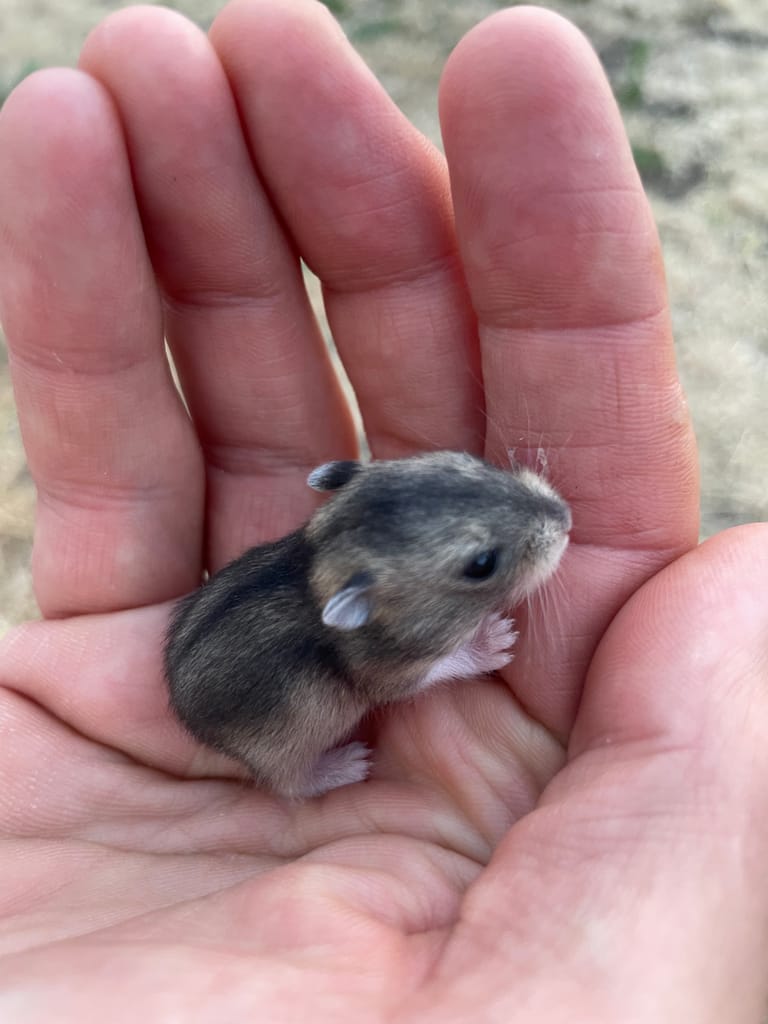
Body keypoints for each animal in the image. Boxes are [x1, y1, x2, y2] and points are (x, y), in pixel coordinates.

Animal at [164, 451, 571, 799]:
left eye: (473, 460)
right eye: (483, 564)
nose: (566, 517)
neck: (315, 568)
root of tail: (190, 725)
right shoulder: (389, 674)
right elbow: (443, 666)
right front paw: (499, 638)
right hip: (279, 751)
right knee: (288, 785)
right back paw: (349, 765)